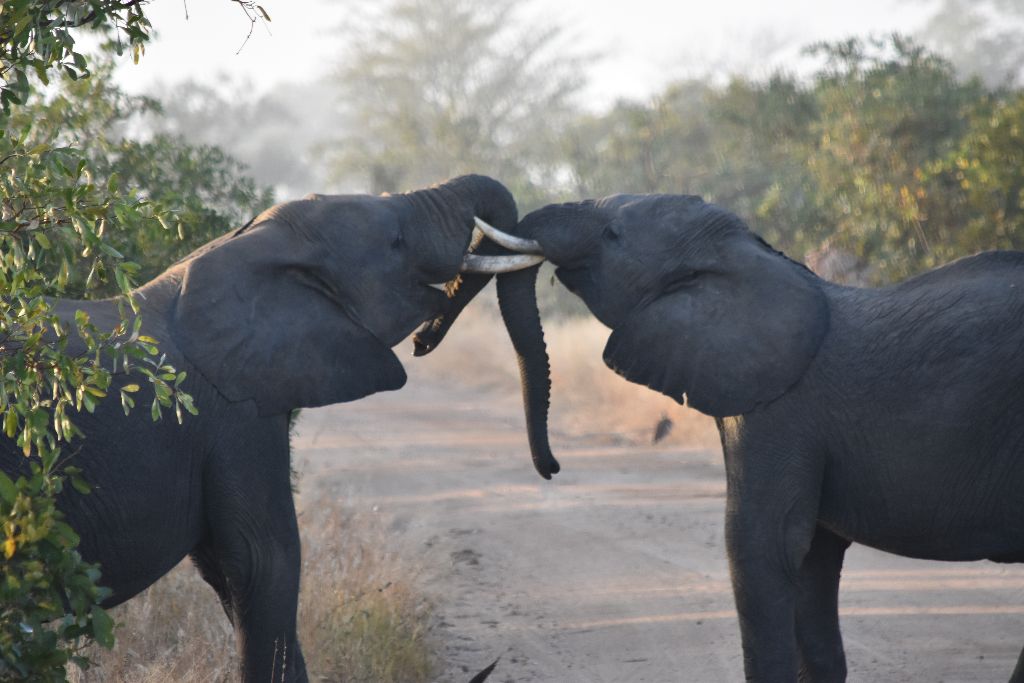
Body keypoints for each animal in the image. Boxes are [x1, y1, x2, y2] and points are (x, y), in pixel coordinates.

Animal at [0, 176, 548, 683]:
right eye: (395, 242)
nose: (423, 343)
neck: (250, 246)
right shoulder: (235, 415)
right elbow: (264, 560)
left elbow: (230, 568)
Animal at [462, 192, 1024, 683]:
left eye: (612, 234)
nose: (552, 468)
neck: (749, 257)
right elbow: (812, 559)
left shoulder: (782, 409)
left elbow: (762, 546)